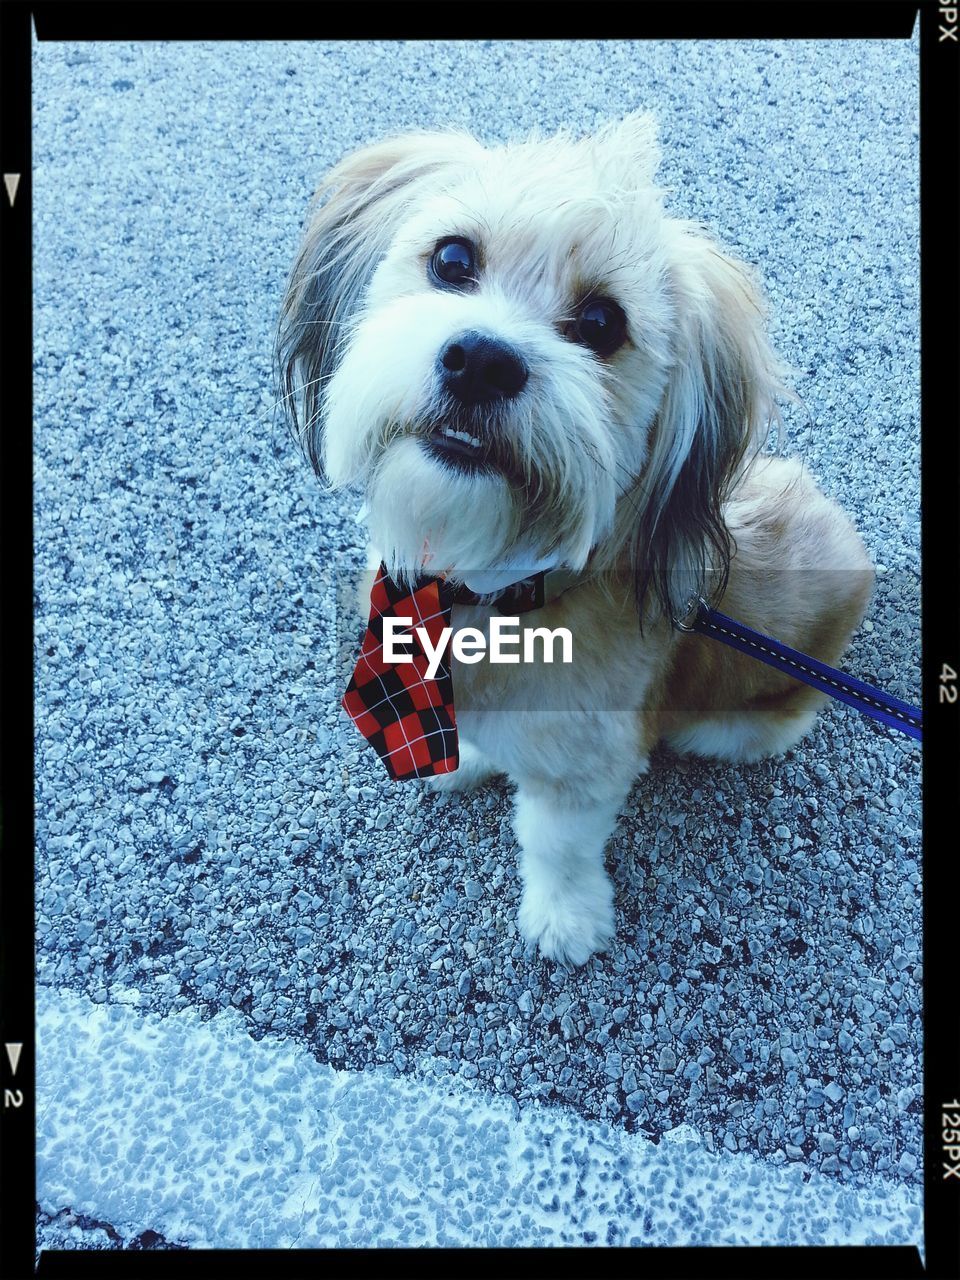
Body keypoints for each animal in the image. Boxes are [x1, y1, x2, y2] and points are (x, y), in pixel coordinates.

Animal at [273, 115, 875, 962]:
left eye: (601, 324)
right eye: (452, 260)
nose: (481, 361)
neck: (493, 591)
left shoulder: (586, 768)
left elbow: (555, 840)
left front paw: (565, 917)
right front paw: (465, 759)